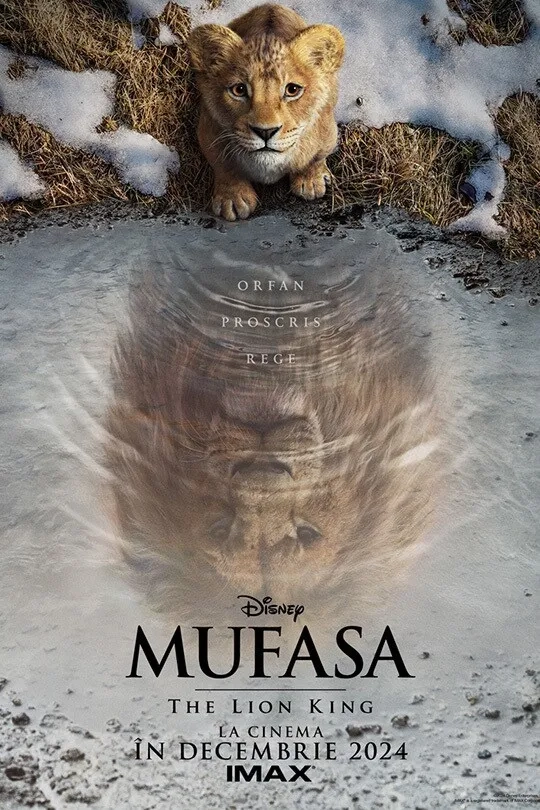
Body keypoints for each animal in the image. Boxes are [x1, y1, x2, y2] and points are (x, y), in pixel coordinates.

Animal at [188, 4, 345, 221]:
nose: (265, 132)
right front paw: (233, 199)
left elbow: (315, 158)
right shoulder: (209, 132)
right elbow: (224, 166)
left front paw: (311, 181)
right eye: (239, 90)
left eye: (292, 90)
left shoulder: (327, 132)